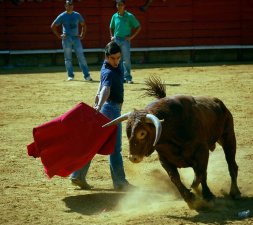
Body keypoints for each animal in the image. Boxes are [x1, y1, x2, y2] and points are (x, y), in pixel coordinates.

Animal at [103, 75, 241, 209]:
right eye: (127, 131)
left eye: (142, 133)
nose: (133, 157)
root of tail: (220, 104)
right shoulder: (164, 159)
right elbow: (175, 178)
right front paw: (191, 199)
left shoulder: (202, 152)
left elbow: (200, 174)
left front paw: (203, 195)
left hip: (228, 137)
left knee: (231, 165)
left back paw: (235, 193)